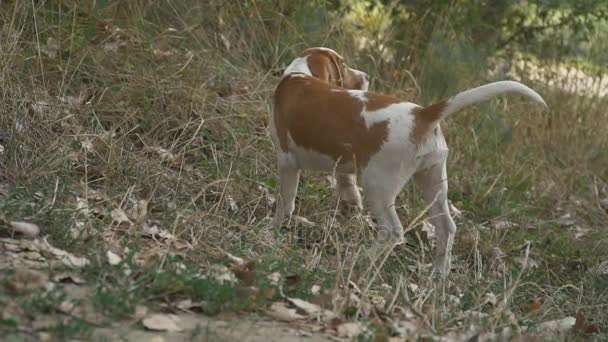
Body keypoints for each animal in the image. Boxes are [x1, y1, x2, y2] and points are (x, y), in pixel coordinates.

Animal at [270, 48, 548, 274]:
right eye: (344, 65)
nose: (366, 76)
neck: (300, 74)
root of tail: (423, 114)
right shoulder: (344, 167)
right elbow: (346, 187)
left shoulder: (286, 162)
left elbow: (285, 202)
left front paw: (273, 230)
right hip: (432, 181)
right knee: (446, 227)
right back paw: (438, 274)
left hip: (378, 186)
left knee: (393, 230)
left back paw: (361, 260)